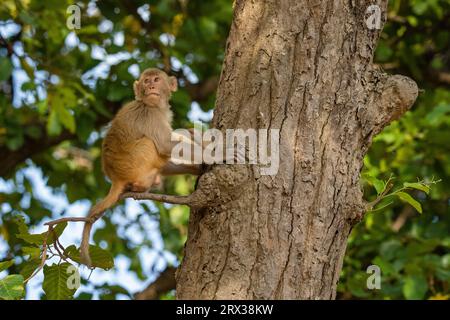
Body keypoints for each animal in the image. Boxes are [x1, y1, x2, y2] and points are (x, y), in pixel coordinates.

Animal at [80, 68, 200, 268]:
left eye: (156, 79)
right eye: (146, 81)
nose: (150, 87)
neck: (153, 106)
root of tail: (116, 177)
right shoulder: (150, 115)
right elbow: (167, 145)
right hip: (136, 162)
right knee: (150, 142)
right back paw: (139, 186)